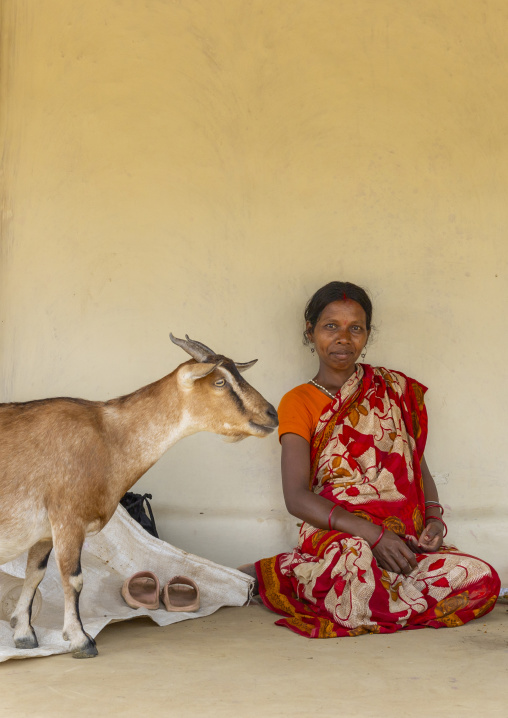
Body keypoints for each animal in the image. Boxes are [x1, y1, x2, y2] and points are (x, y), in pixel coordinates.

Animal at [0, 334, 278, 658]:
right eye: (219, 381)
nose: (272, 414)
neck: (108, 437)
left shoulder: (45, 532)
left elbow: (34, 574)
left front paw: (24, 634)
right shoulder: (68, 519)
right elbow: (73, 579)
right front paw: (81, 639)